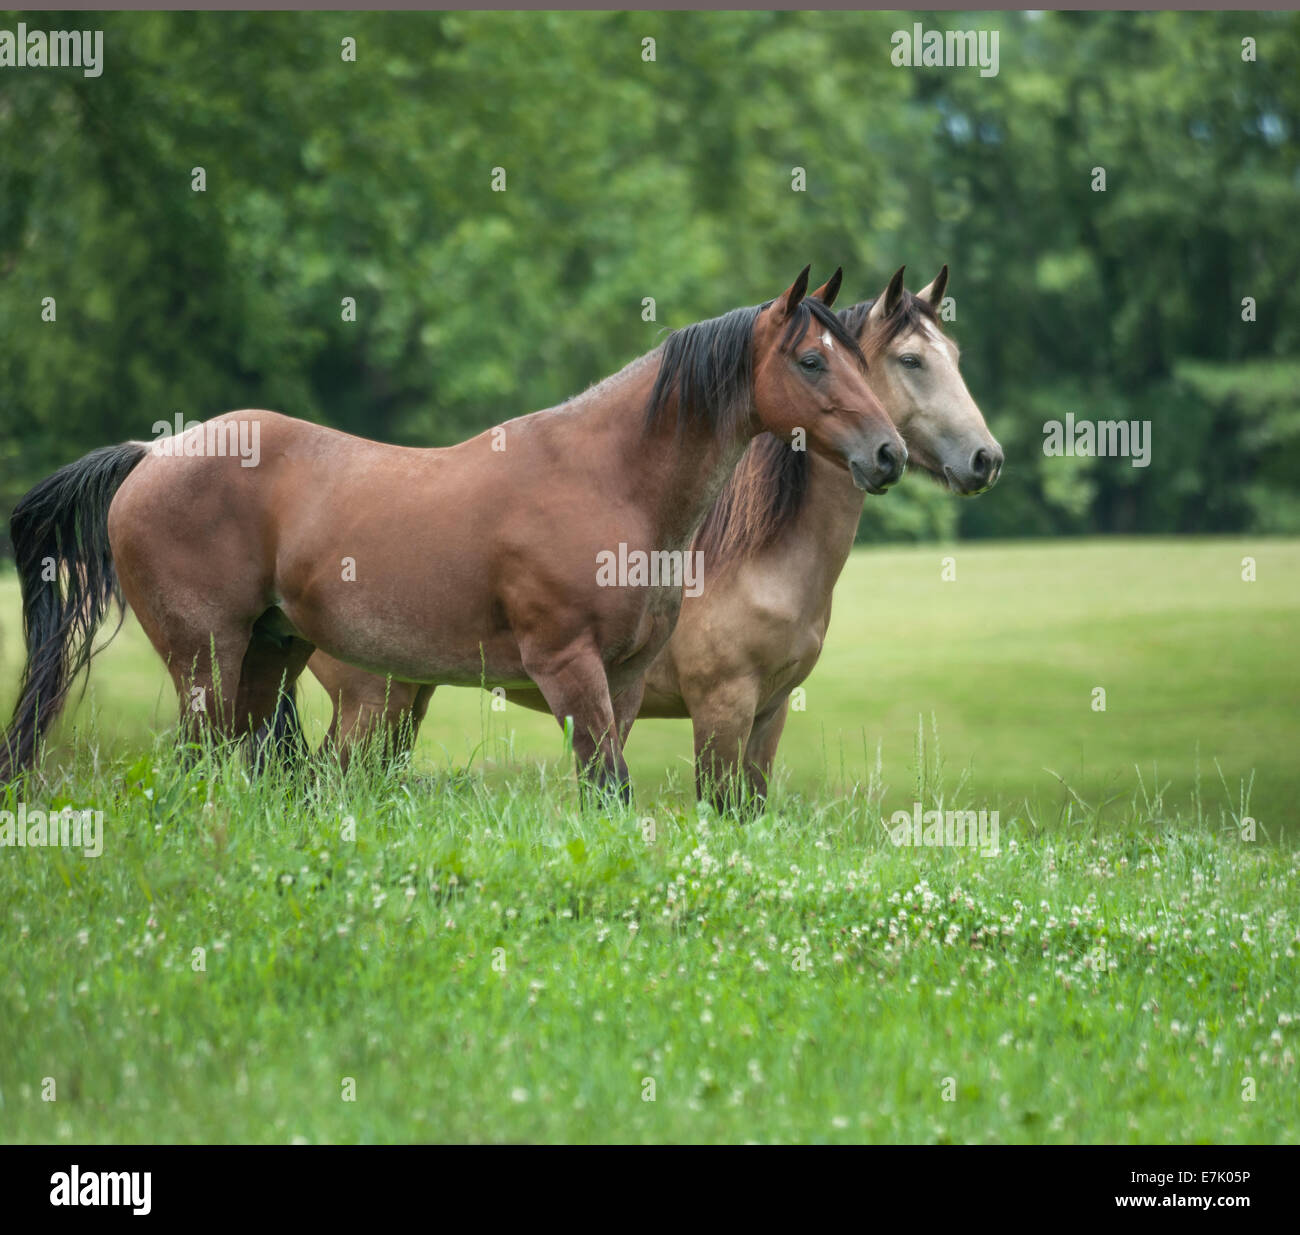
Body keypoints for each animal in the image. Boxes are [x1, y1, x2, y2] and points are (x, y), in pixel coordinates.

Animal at [0, 267, 907, 802]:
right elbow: (609, 787)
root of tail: (152, 453)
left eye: (861, 360)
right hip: (209, 660)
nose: (889, 452)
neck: (605, 479)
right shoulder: (569, 668)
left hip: (270, 657)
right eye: (813, 361)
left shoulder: (624, 675)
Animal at [304, 266, 1002, 810]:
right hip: (370, 700)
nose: (985, 459)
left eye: (956, 357)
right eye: (911, 361)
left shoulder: (769, 712)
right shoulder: (721, 710)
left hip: (404, 697)